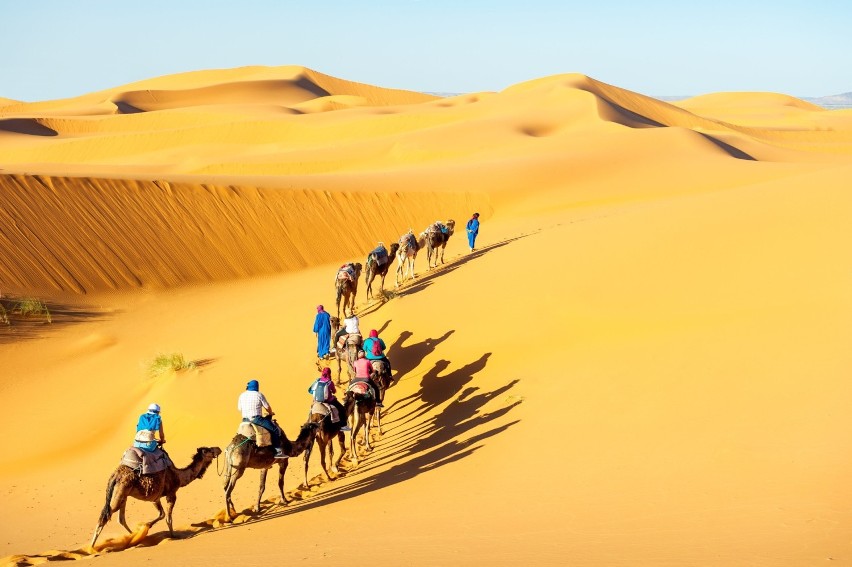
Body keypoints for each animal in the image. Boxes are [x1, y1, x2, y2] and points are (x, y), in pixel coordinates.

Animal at [91, 446, 221, 548]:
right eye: (209, 450)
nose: (218, 449)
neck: (179, 476)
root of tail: (115, 475)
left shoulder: (155, 498)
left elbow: (162, 514)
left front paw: (146, 526)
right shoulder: (171, 494)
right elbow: (168, 518)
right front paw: (173, 536)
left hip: (123, 495)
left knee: (120, 519)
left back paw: (133, 537)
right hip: (120, 493)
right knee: (104, 517)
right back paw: (91, 548)